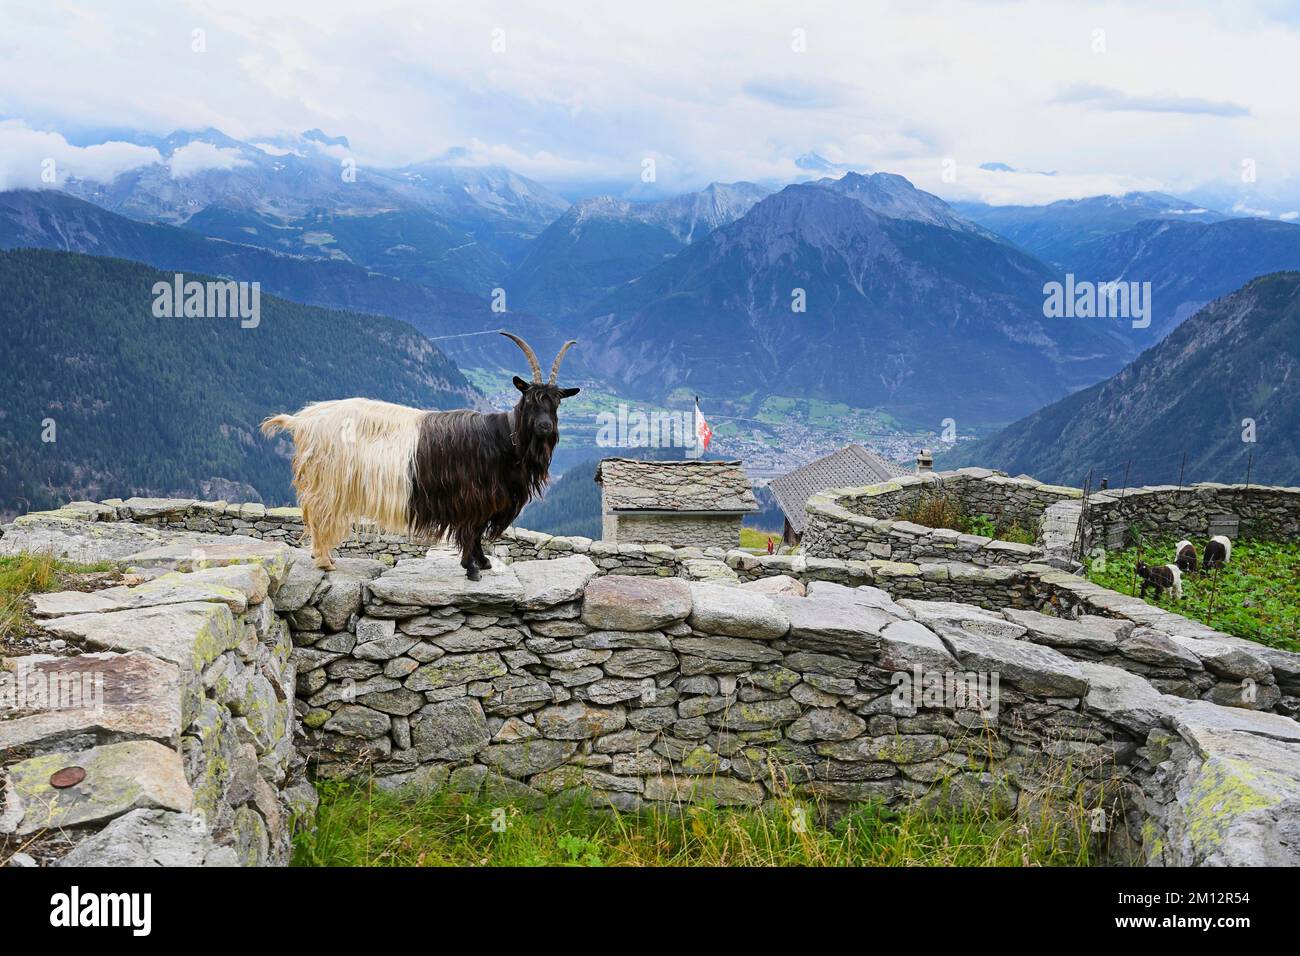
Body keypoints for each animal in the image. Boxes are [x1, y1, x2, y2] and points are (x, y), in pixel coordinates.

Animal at [263, 332, 579, 580]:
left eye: (556, 403)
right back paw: (324, 561)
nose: (545, 426)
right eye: (530, 400)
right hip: (328, 481)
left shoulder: (486, 498)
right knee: (319, 516)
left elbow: (477, 531)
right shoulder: (471, 496)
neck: (503, 438)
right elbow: (472, 529)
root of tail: (303, 420)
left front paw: (483, 562)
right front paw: (471, 567)